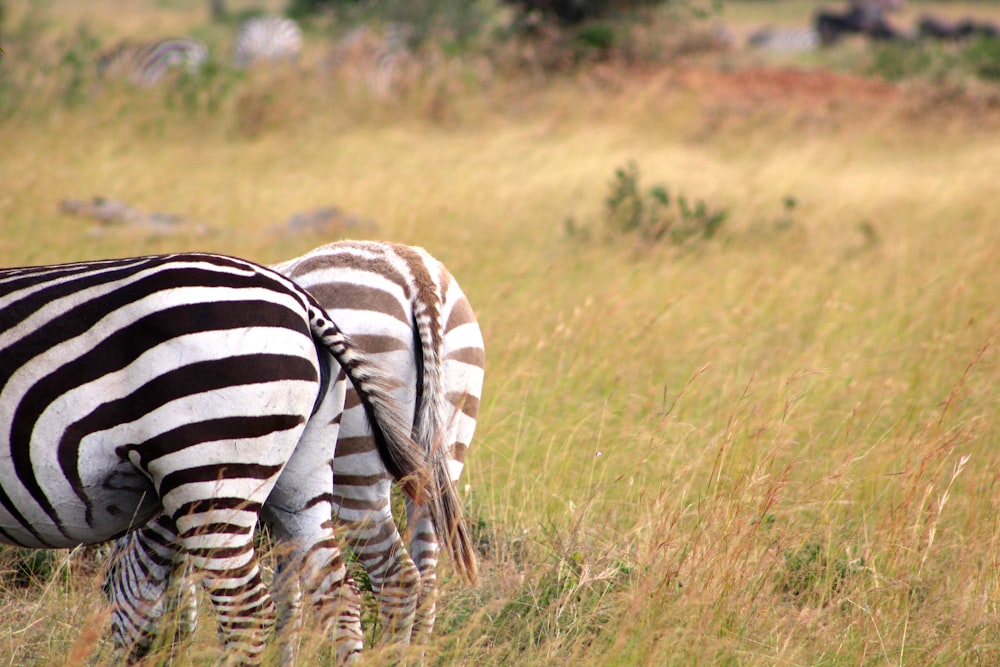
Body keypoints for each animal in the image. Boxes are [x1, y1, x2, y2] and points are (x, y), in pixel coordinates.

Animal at [0, 253, 454, 664]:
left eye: (106, 589)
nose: (137, 659)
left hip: (228, 469)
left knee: (253, 611)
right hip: (316, 473)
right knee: (354, 588)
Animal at [105, 240, 484, 652]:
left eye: (106, 589)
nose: (168, 649)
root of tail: (416, 273)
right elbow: (290, 590)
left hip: (355, 459)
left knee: (397, 576)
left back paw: (388, 654)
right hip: (446, 440)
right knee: (428, 571)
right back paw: (412, 653)